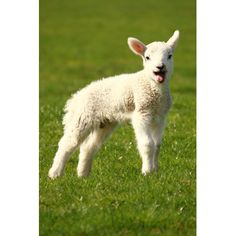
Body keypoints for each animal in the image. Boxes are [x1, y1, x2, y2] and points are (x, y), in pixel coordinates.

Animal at [48, 30, 180, 180]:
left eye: (170, 56)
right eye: (147, 57)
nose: (160, 67)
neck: (153, 88)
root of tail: (75, 98)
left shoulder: (160, 116)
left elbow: (157, 145)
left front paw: (155, 170)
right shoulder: (141, 113)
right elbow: (147, 144)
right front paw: (147, 172)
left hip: (105, 123)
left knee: (88, 146)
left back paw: (83, 175)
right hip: (82, 117)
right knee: (67, 143)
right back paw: (55, 174)